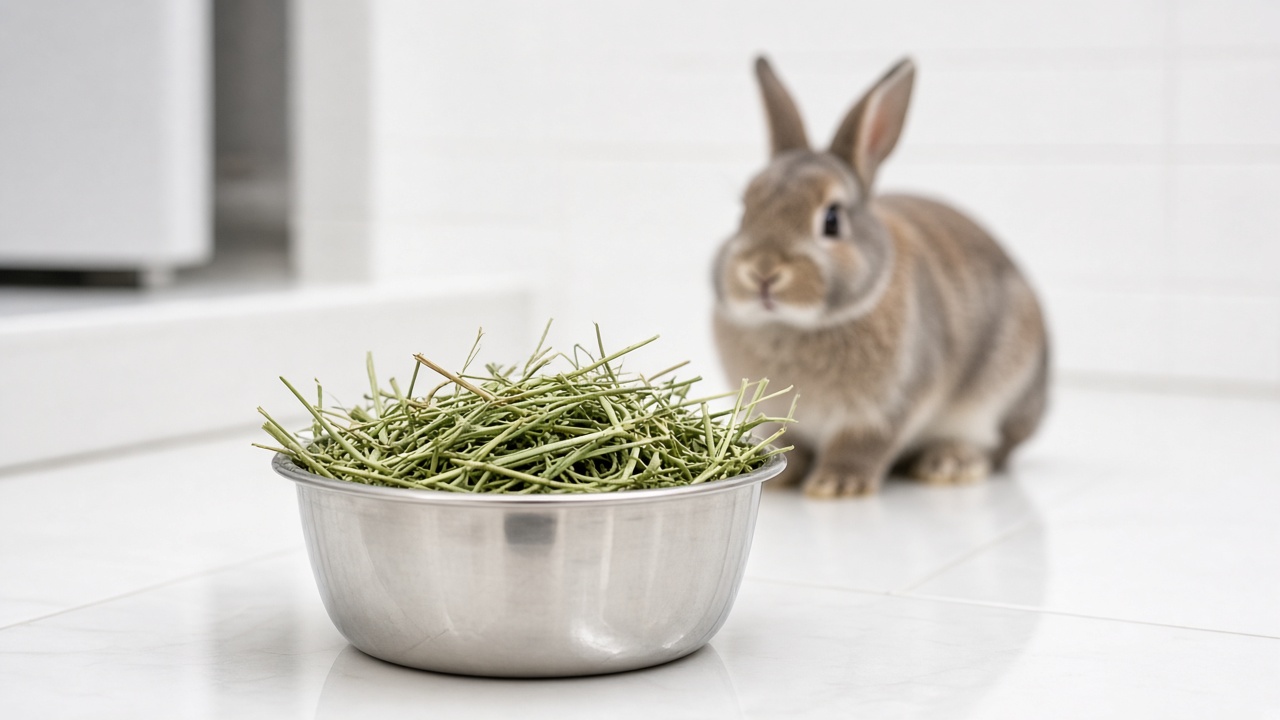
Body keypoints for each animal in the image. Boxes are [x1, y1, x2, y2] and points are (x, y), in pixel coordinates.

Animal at [713, 56, 1049, 498]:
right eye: (744, 212)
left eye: (832, 220)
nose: (762, 272)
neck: (794, 324)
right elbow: (791, 442)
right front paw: (785, 478)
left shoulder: (887, 406)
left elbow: (861, 444)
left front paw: (836, 484)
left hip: (998, 397)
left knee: (995, 448)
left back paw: (950, 463)